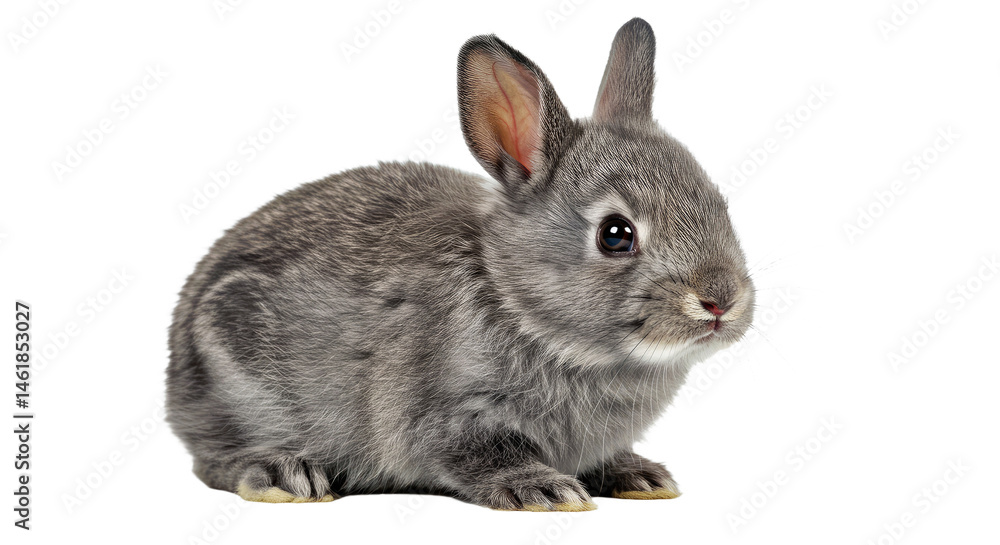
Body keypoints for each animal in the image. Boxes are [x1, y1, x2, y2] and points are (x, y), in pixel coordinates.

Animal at [166, 17, 755, 511]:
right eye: (616, 235)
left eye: (719, 205)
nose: (721, 301)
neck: (514, 299)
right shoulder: (449, 415)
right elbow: (478, 454)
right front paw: (545, 490)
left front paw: (641, 477)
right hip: (237, 378)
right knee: (212, 459)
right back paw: (283, 475)